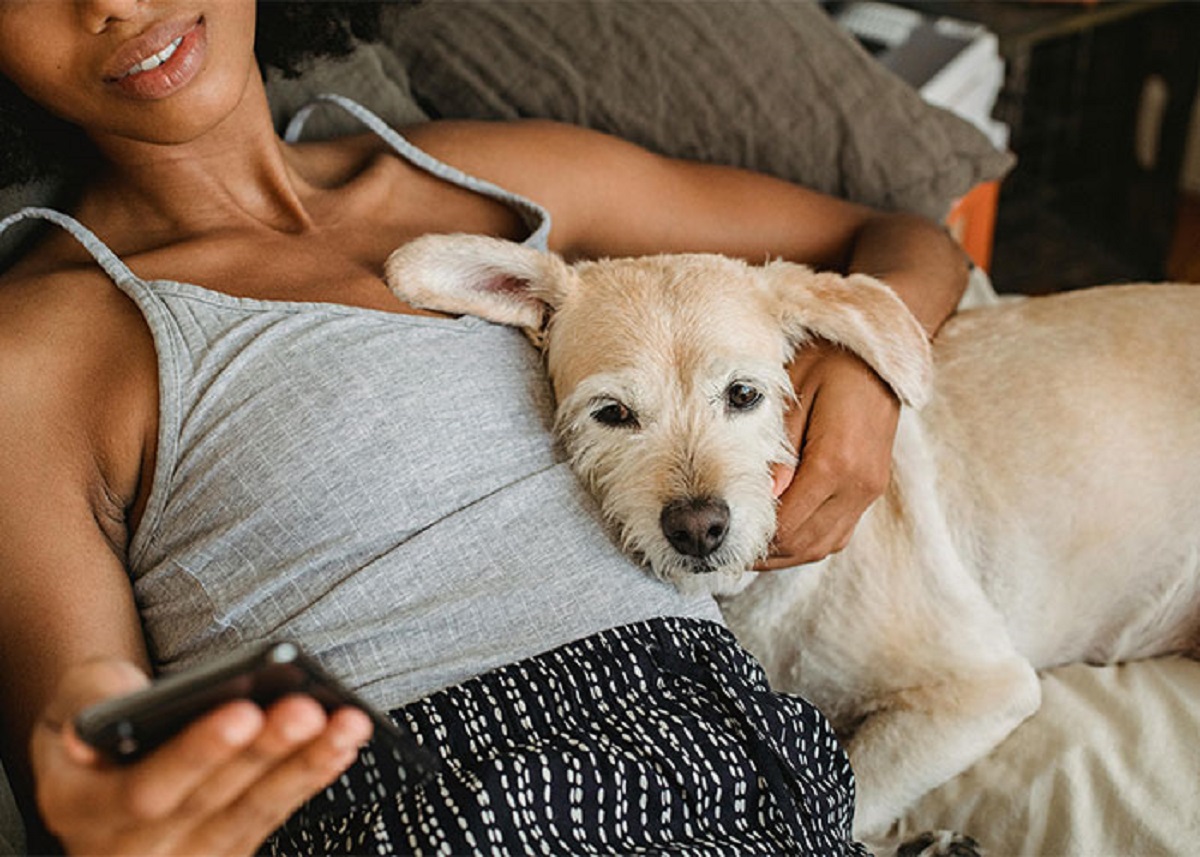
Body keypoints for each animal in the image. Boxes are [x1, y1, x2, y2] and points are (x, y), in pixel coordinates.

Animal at [386, 236, 1200, 840]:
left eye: (744, 394)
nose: (698, 526)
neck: (755, 597)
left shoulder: (978, 688)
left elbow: (855, 804)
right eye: (611, 413)